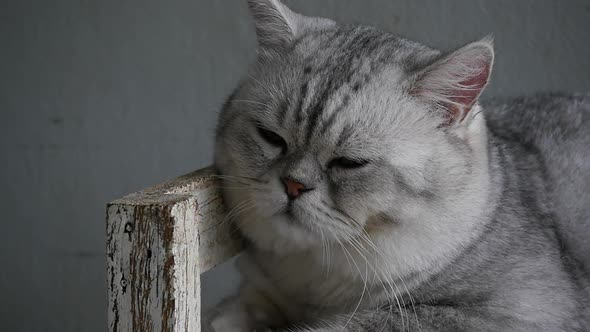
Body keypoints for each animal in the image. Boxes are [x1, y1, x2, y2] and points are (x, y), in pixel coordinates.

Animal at [208, 1, 590, 330]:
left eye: (350, 162)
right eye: (271, 137)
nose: (293, 185)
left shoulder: (519, 311)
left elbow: (358, 324)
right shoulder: (261, 289)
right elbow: (234, 309)